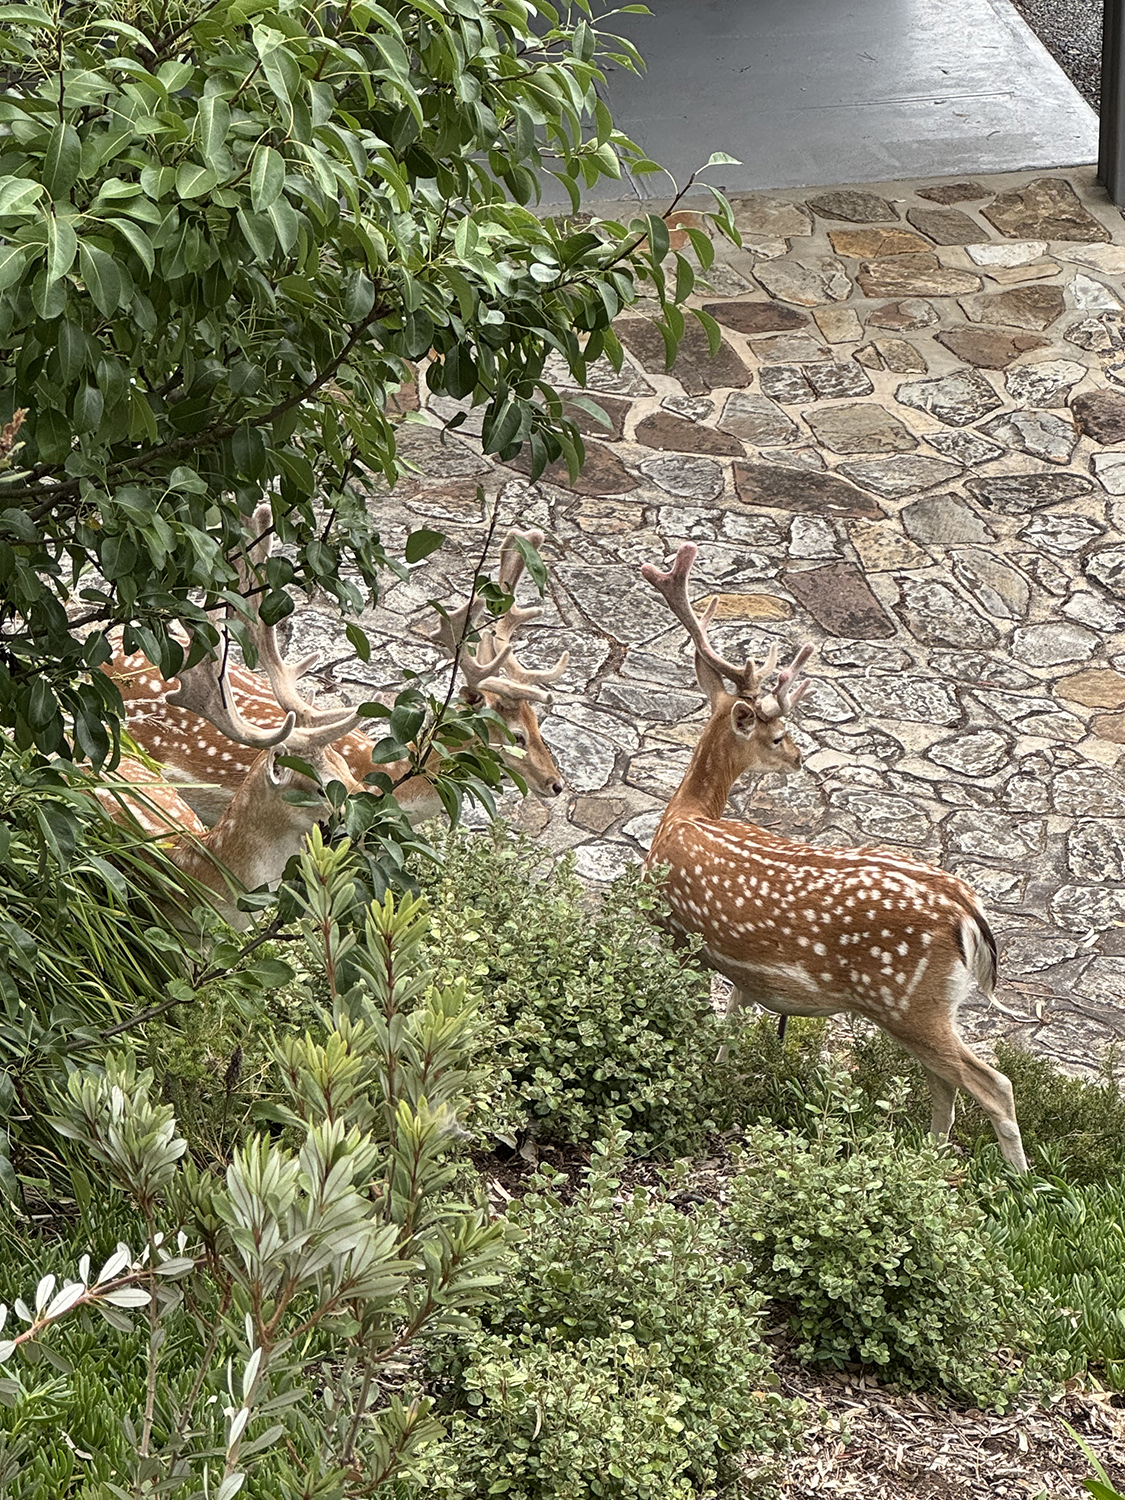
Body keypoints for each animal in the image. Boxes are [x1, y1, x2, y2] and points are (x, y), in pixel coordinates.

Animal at [639, 543, 1028, 1173]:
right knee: (945, 1083)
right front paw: (720, 1074)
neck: (686, 816)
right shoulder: (742, 969)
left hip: (906, 1000)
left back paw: (1014, 1184)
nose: (798, 756)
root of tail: (967, 914)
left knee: (992, 1084)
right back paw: (926, 1163)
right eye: (777, 736)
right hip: (922, 1008)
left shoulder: (678, 932)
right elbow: (731, 1023)